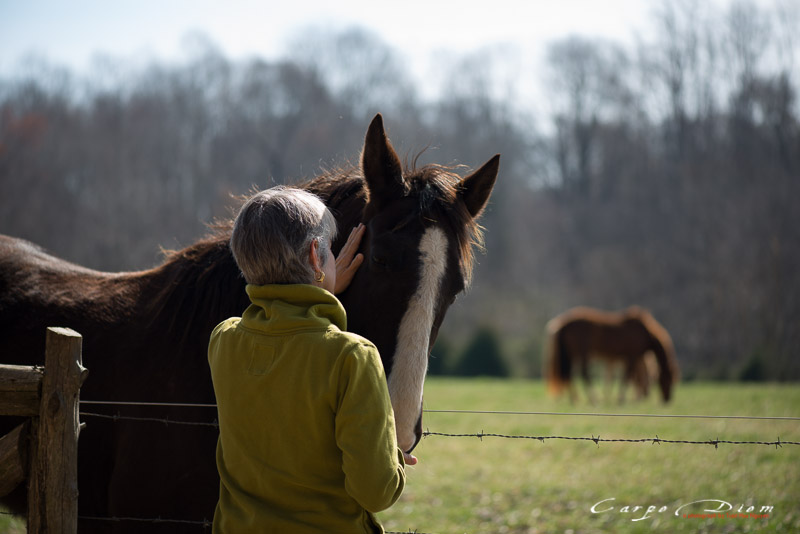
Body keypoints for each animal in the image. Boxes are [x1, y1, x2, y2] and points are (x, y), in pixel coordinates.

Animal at [544, 308, 676, 404]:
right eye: (669, 379)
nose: (667, 399)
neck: (646, 333)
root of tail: (563, 324)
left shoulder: (623, 359)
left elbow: (617, 377)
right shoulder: (632, 356)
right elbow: (627, 377)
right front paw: (621, 399)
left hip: (572, 354)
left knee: (568, 375)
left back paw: (575, 399)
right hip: (582, 353)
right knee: (583, 374)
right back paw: (592, 398)